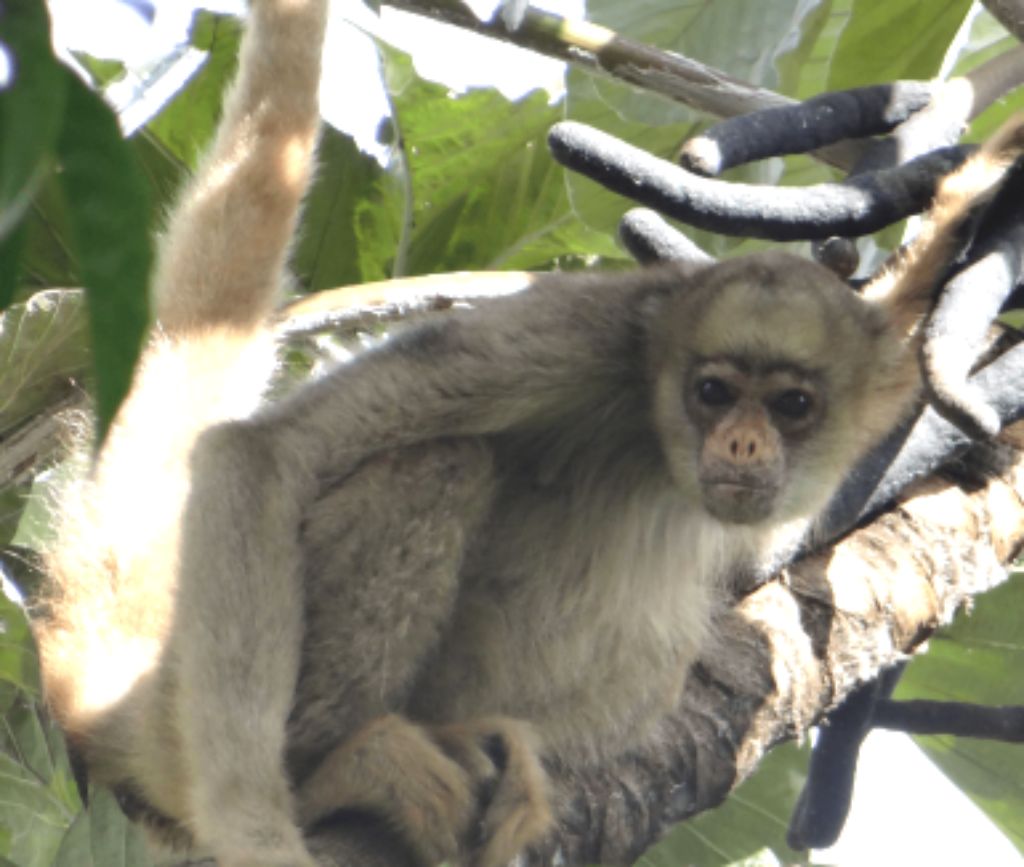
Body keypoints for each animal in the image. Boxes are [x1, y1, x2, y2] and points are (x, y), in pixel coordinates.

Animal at [28, 1, 1024, 867]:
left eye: (792, 405)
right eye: (712, 393)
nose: (742, 445)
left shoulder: (873, 365)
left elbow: (911, 311)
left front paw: (985, 182)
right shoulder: (579, 338)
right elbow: (259, 454)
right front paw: (259, 833)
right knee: (437, 465)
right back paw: (333, 771)